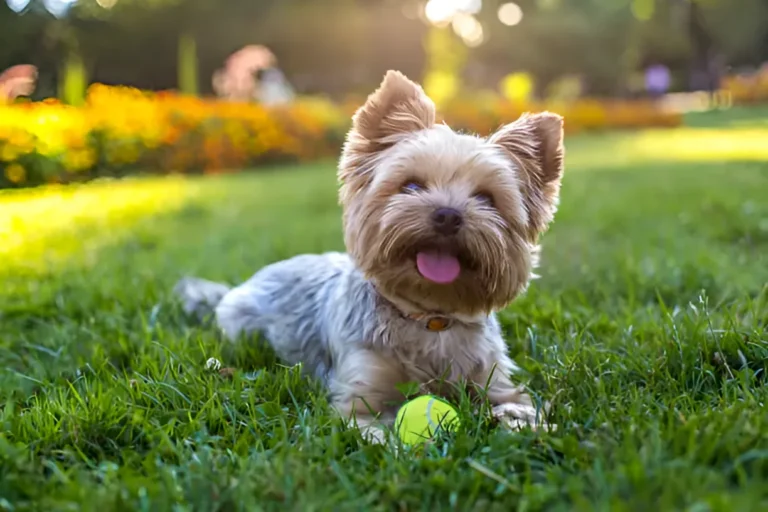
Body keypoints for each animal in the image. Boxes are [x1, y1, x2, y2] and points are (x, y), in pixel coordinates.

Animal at [176, 70, 564, 442]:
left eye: (486, 198)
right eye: (411, 186)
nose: (448, 215)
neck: (430, 317)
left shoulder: (496, 380)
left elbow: (518, 405)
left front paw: (525, 427)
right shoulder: (360, 396)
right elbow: (378, 431)